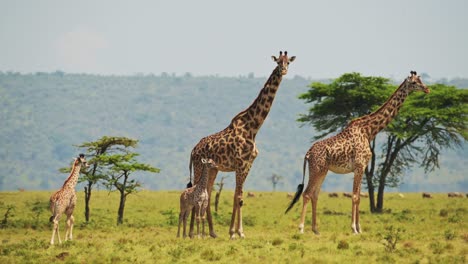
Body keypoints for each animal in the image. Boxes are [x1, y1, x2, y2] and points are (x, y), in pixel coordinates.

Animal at [189, 50, 296, 238]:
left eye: (288, 62)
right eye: (278, 62)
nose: (283, 70)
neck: (253, 127)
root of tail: (193, 150)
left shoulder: (248, 165)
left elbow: (239, 196)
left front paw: (236, 232)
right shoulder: (240, 164)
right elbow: (238, 196)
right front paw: (235, 232)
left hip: (213, 169)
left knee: (207, 191)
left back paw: (212, 232)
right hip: (199, 166)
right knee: (197, 190)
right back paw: (193, 233)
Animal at [284, 71, 430, 234]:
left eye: (420, 80)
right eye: (414, 83)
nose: (427, 89)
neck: (369, 131)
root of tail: (307, 153)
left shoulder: (363, 167)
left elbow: (359, 197)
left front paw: (360, 229)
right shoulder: (359, 166)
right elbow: (354, 196)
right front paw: (353, 228)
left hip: (323, 171)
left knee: (315, 194)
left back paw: (316, 229)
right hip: (316, 169)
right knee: (307, 193)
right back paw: (301, 228)